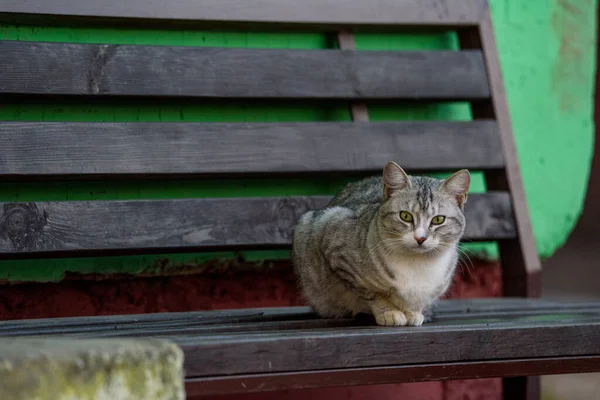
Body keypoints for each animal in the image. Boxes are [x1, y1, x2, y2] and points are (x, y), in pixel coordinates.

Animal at [292, 161, 472, 326]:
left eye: (438, 219)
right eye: (405, 216)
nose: (420, 238)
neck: (417, 263)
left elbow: (414, 301)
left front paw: (412, 312)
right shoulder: (336, 244)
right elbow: (372, 293)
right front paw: (388, 312)